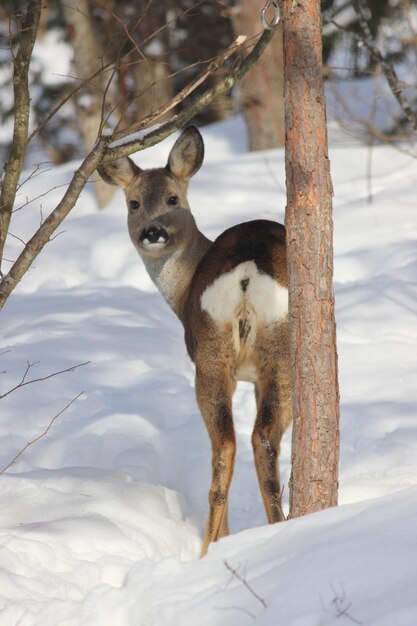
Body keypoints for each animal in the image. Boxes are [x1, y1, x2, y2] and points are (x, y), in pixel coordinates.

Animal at [98, 127, 290, 556]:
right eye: (134, 203)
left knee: (233, 445)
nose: (152, 232)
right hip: (259, 353)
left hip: (220, 354)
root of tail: (246, 274)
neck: (184, 291)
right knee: (250, 441)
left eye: (173, 198)